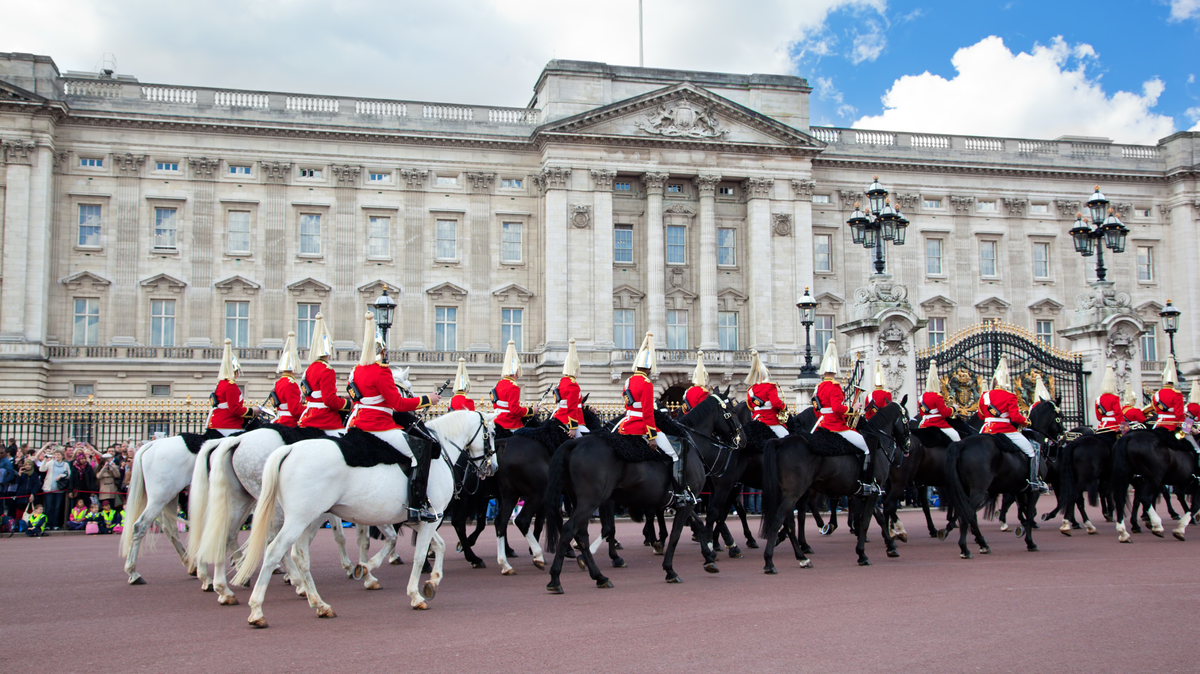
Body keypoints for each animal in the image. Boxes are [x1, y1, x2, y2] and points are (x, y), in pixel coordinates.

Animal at [231, 407, 494, 628]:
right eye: (490, 434)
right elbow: (419, 555)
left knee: (299, 555)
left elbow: (437, 546)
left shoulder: (420, 519)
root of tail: (290, 449)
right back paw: (256, 609)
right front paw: (415, 594)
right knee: (273, 550)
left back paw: (319, 603)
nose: (492, 468)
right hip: (298, 519)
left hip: (307, 519)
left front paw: (430, 582)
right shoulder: (431, 516)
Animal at [540, 390, 734, 590]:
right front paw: (670, 569)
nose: (740, 438)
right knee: (569, 529)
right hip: (589, 501)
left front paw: (708, 557)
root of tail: (575, 444)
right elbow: (675, 534)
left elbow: (697, 523)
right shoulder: (684, 501)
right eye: (732, 411)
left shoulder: (684, 499)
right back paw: (555, 578)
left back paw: (598, 576)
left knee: (580, 533)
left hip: (580, 501)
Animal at [758, 398, 907, 570]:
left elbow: (879, 517)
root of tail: (780, 442)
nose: (907, 446)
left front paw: (890, 545)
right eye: (906, 418)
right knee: (779, 519)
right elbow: (865, 521)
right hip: (794, 493)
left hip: (790, 493)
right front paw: (862, 554)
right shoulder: (873, 493)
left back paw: (802, 557)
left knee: (789, 522)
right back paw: (770, 561)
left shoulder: (866, 492)